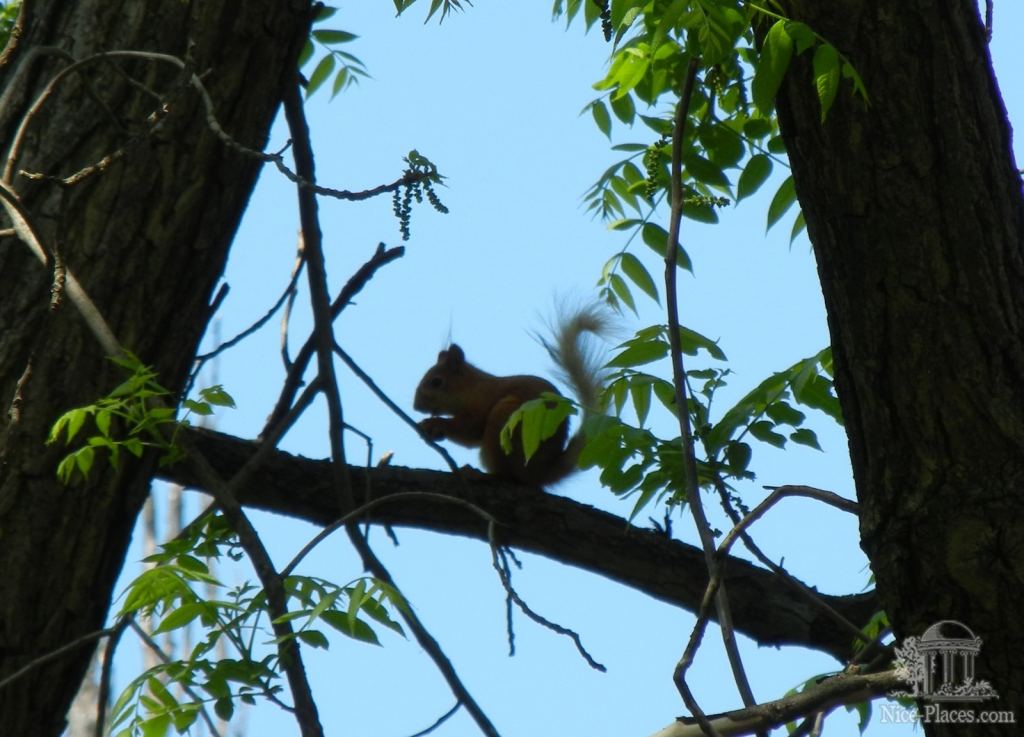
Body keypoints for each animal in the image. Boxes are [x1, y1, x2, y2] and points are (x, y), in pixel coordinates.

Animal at [413, 307, 606, 487]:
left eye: (436, 382)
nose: (416, 406)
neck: (472, 387)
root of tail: (539, 474)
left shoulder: (482, 403)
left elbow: (471, 430)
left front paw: (434, 424)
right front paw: (432, 431)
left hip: (505, 421)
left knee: (507, 475)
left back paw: (480, 474)